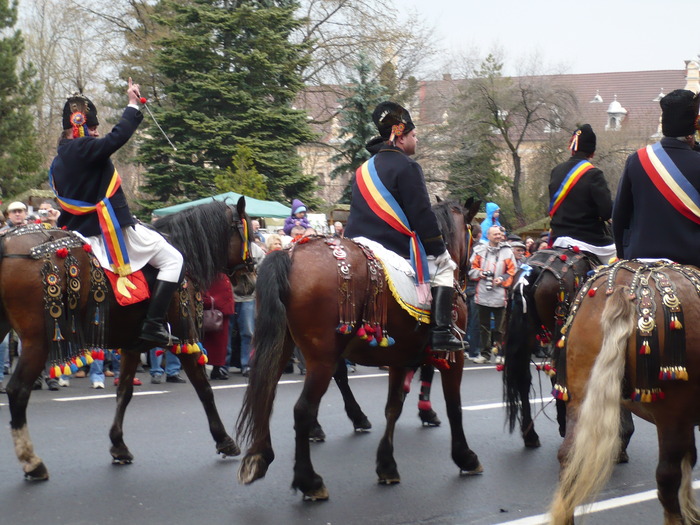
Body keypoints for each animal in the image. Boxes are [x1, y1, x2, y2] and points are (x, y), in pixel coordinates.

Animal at [0, 196, 252, 478]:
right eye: (248, 235)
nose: (250, 281)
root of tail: (7, 243)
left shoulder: (132, 345)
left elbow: (124, 392)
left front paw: (118, 445)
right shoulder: (186, 340)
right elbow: (204, 389)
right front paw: (224, 439)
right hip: (38, 341)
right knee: (18, 390)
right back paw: (32, 462)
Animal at [235, 198, 482, 500]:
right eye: (476, 233)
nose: (469, 277)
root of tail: (290, 254)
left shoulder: (400, 358)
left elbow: (393, 407)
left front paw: (387, 464)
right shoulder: (452, 356)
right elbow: (453, 406)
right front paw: (465, 456)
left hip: (281, 347)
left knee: (266, 394)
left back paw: (258, 457)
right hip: (321, 359)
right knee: (303, 409)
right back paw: (309, 480)